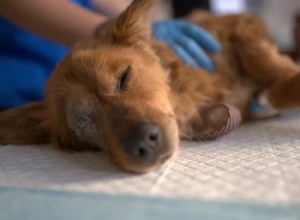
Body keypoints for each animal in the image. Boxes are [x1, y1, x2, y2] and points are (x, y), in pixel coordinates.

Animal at [0, 0, 300, 173]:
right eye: (84, 124)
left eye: (124, 77)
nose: (143, 143)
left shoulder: (237, 25)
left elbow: (262, 62)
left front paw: (284, 80)